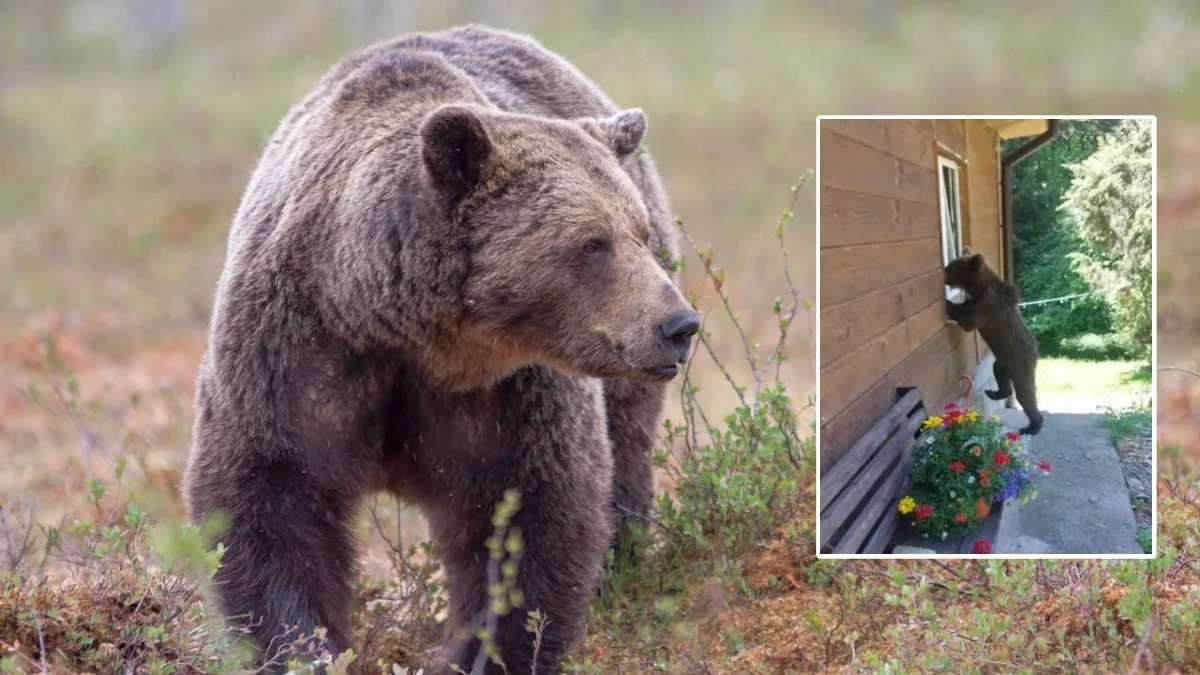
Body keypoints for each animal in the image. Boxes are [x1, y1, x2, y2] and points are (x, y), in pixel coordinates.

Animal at [182, 23, 700, 667]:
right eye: (592, 243)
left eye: (639, 234)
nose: (678, 325)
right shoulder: (293, 353)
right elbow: (269, 500)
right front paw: (305, 647)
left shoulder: (507, 394)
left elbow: (531, 514)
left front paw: (485, 651)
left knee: (625, 452)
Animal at [945, 249, 1041, 432]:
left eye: (951, 267)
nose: (944, 271)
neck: (979, 287)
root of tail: (1037, 353)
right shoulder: (978, 300)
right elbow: (967, 308)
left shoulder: (989, 305)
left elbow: (970, 322)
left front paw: (950, 305)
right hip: (1003, 362)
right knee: (999, 374)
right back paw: (994, 392)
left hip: (1021, 363)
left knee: (1025, 394)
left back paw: (1033, 425)